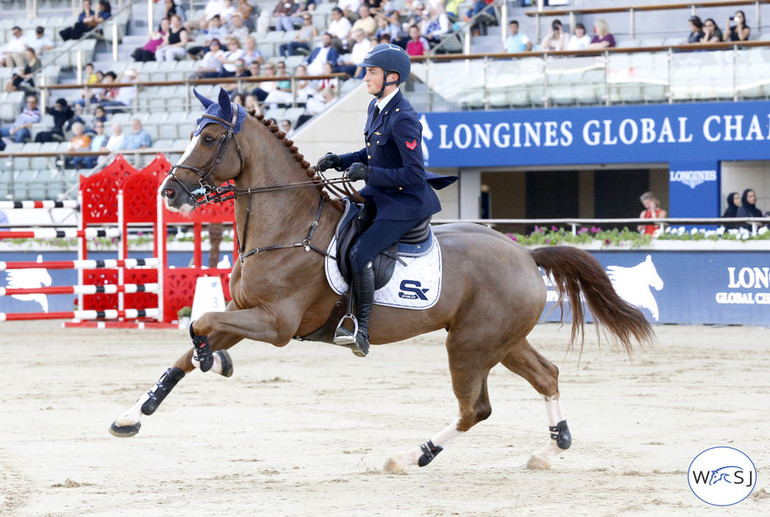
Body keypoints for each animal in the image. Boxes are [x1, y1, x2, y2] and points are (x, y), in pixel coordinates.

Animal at [108, 89, 652, 472]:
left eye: (207, 138)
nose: (170, 191)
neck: (287, 226)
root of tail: (524, 252)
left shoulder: (275, 325)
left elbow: (199, 324)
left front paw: (214, 361)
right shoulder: (245, 314)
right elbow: (189, 344)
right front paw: (134, 414)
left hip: (471, 344)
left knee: (475, 408)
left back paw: (413, 455)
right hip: (501, 339)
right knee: (546, 376)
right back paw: (549, 450)